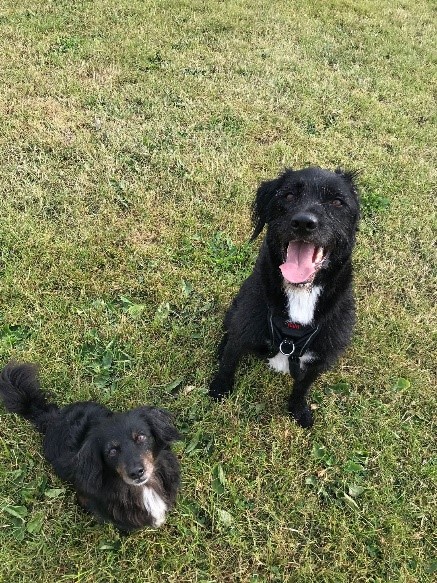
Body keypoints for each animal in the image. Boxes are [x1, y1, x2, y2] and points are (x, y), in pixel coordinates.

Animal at [209, 167, 360, 426]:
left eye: (337, 202)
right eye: (288, 196)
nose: (303, 223)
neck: (300, 294)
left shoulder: (318, 360)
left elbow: (302, 386)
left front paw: (298, 410)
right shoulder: (244, 329)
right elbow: (228, 362)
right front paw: (219, 390)